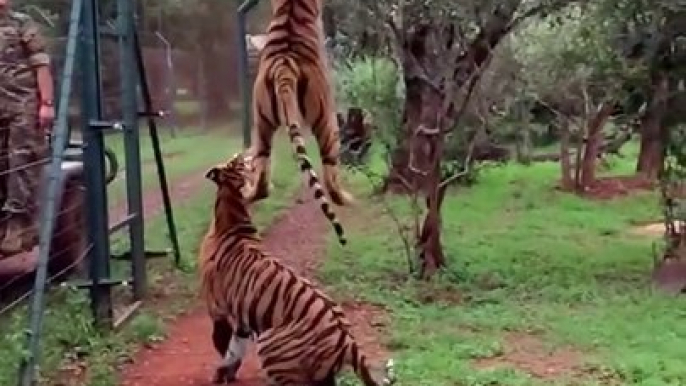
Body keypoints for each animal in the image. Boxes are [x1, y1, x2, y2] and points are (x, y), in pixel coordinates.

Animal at [199, 152, 398, 384]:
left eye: (238, 162)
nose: (243, 154)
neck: (232, 214)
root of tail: (348, 341)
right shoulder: (242, 320)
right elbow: (234, 350)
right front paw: (227, 372)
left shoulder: (217, 308)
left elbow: (223, 346)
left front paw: (221, 375)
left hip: (270, 347)